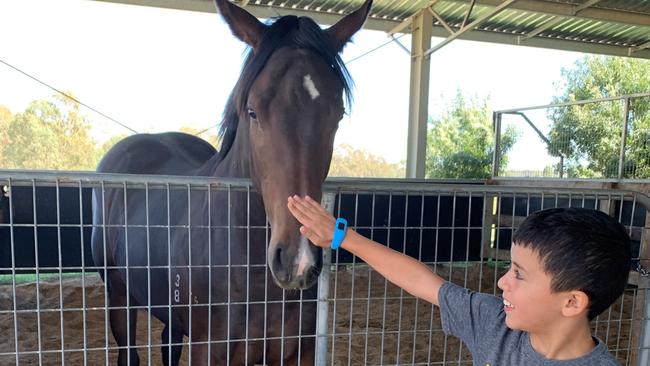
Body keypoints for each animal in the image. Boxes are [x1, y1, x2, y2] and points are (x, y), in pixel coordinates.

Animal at [92, 0, 374, 364]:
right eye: (252, 111)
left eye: (337, 115)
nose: (297, 260)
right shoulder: (209, 352)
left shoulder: (300, 351)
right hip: (119, 297)